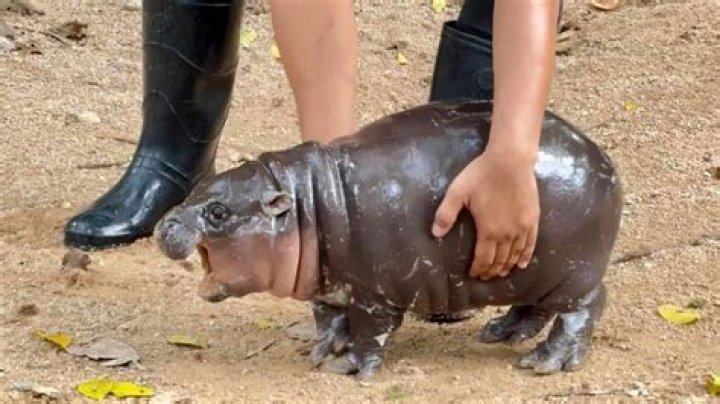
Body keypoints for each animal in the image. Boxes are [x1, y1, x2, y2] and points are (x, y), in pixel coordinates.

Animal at [156, 100, 623, 380]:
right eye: (198, 187)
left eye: (219, 212)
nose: (164, 224)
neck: (306, 205)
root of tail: (603, 158)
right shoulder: (330, 287)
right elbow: (328, 318)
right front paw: (322, 350)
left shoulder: (374, 294)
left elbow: (370, 332)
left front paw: (349, 367)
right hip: (530, 270)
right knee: (535, 307)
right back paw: (500, 333)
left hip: (572, 272)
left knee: (584, 308)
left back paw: (545, 362)